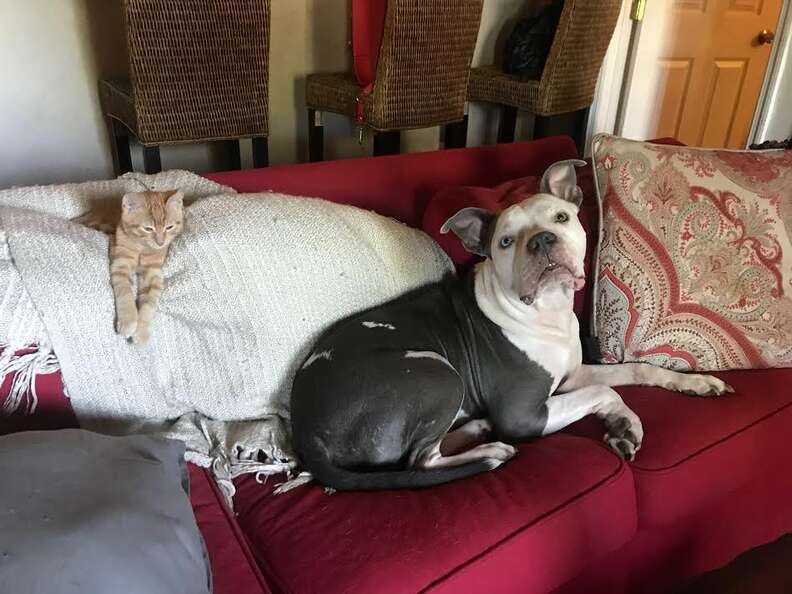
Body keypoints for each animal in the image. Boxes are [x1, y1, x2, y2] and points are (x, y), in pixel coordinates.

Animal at [78, 190, 185, 344]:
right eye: (148, 229)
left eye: (169, 227)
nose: (160, 242)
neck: (142, 248)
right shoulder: (120, 264)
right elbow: (125, 292)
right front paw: (128, 321)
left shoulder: (153, 274)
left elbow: (149, 303)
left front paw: (141, 331)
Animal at [290, 158, 732, 490]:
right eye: (505, 241)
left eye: (561, 217)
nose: (542, 240)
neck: (546, 310)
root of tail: (304, 428)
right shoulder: (527, 413)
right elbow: (604, 390)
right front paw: (622, 420)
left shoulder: (570, 375)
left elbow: (635, 370)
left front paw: (687, 387)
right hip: (437, 371)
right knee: (421, 461)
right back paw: (491, 451)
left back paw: (477, 428)